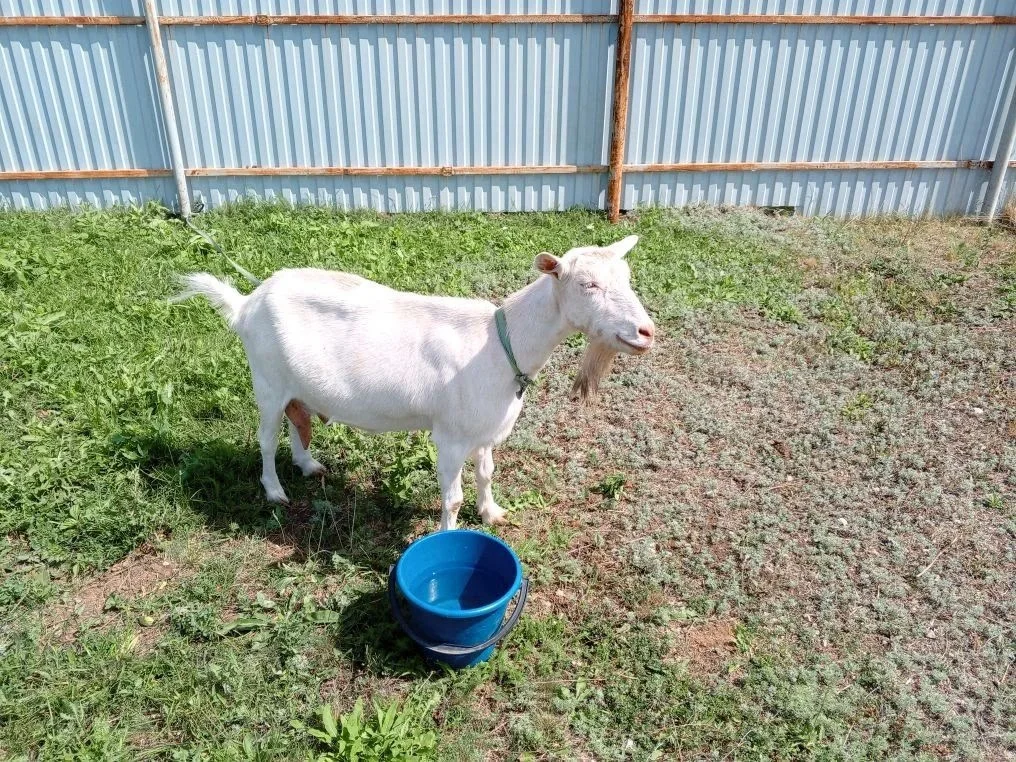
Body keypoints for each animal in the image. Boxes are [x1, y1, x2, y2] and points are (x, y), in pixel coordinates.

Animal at [174, 236, 655, 530]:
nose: (646, 332)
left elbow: (486, 474)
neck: (502, 342)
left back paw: (308, 465)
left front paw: (493, 513)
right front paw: (449, 531)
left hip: (297, 382)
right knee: (266, 437)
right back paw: (275, 491)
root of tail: (245, 303)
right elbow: (452, 497)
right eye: (587, 284)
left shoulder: (484, 430)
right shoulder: (450, 435)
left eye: (628, 279)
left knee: (298, 418)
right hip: (267, 380)